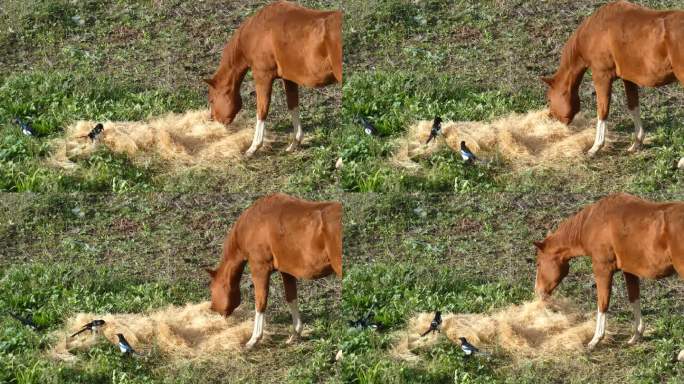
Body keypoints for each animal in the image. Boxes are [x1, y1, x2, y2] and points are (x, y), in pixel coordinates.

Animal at [203, 0, 342, 156]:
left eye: (212, 100)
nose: (214, 119)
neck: (256, 33)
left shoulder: (263, 77)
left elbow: (262, 110)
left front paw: (254, 147)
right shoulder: (289, 79)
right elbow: (293, 105)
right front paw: (295, 143)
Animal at [203, 194, 342, 346]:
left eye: (212, 289)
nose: (212, 308)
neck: (252, 225)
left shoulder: (260, 269)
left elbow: (260, 302)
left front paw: (254, 339)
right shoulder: (287, 271)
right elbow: (291, 298)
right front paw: (295, 333)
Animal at [536, 194, 684, 350]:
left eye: (538, 263)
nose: (538, 291)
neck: (593, 223)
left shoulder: (602, 269)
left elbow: (602, 303)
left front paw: (596, 339)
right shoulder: (629, 271)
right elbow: (634, 299)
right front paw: (636, 335)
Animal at [544, 0, 680, 156]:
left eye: (549, 98)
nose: (551, 116)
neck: (595, 32)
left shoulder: (602, 77)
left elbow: (602, 111)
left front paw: (596, 147)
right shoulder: (629, 79)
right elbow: (633, 107)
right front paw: (637, 143)